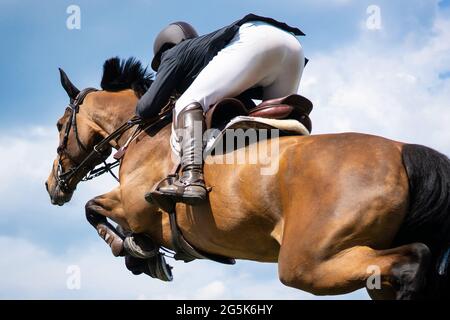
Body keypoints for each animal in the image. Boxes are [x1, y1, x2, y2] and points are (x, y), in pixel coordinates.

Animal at [44, 58, 450, 300]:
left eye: (61, 125)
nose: (51, 186)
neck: (146, 133)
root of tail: (403, 151)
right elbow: (95, 210)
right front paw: (141, 252)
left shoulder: (133, 205)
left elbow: (92, 208)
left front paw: (135, 252)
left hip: (308, 263)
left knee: (414, 258)